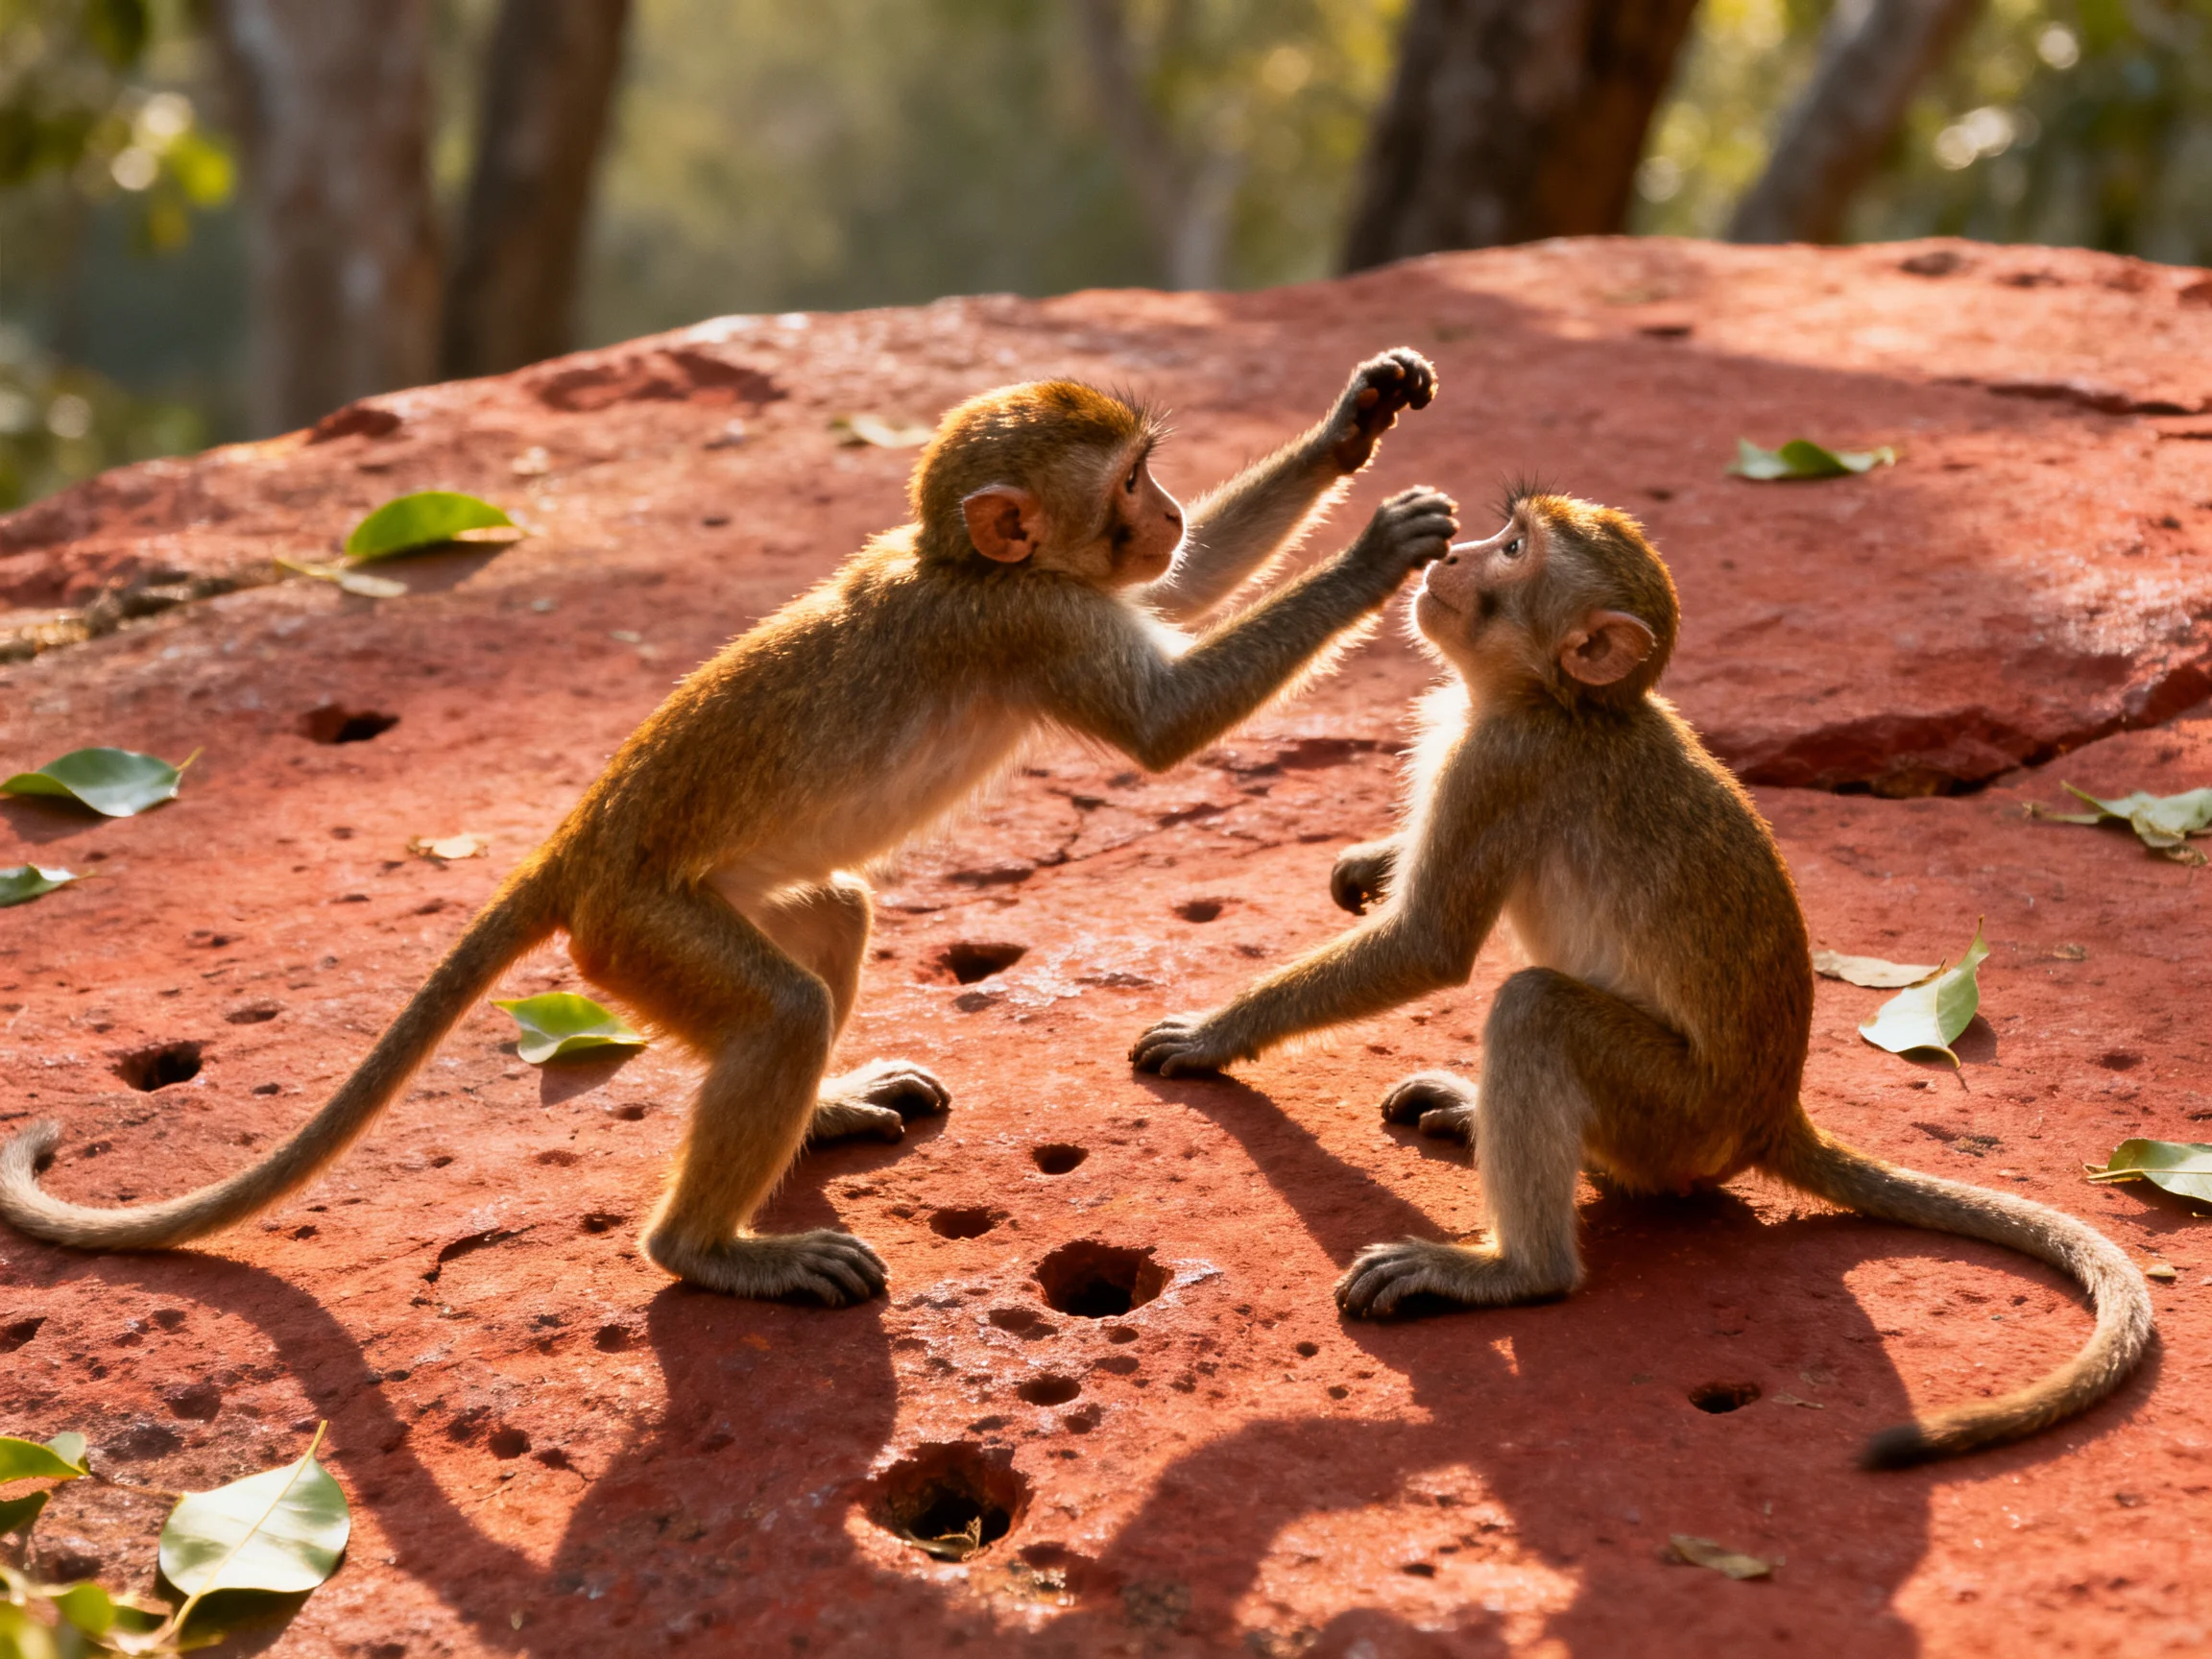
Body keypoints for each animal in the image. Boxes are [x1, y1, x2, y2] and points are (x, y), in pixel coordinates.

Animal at [0, 351, 1459, 1309]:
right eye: (1133, 483)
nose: (1161, 510)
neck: (967, 563)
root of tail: (581, 841)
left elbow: (1195, 588)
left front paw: (1357, 419)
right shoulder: (1030, 622)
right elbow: (1165, 723)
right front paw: (1379, 552)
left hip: (700, 911)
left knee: (832, 917)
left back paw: (822, 1116)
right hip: (639, 932)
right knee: (776, 1013)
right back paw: (710, 1246)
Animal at [1131, 489, 2153, 1468]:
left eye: (1513, 550)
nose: (1453, 555)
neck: (1564, 705)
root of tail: (1771, 1115)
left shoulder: (1501, 765)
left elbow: (1428, 943)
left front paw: (1216, 1032)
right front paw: (1368, 864)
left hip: (1675, 1118)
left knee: (1536, 1010)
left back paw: (1514, 1271)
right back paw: (1472, 1113)